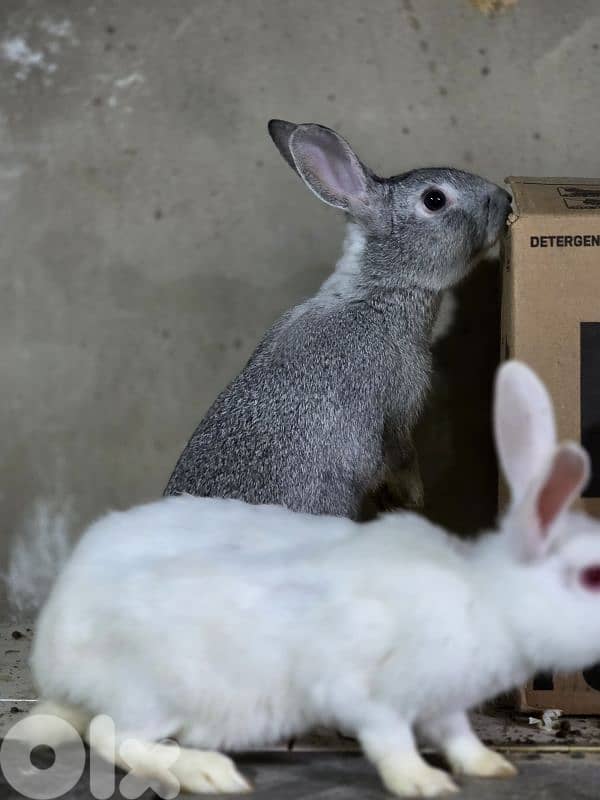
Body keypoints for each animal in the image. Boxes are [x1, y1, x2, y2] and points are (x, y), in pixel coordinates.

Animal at [18, 359, 600, 797]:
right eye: (591, 576)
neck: (484, 597)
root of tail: (54, 656)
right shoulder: (370, 691)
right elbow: (390, 739)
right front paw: (423, 783)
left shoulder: (446, 706)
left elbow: (457, 737)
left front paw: (489, 768)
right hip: (156, 692)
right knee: (110, 736)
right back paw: (207, 772)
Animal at [164, 119, 511, 518]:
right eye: (434, 200)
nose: (505, 198)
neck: (377, 293)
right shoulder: (396, 409)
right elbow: (397, 456)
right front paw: (412, 499)